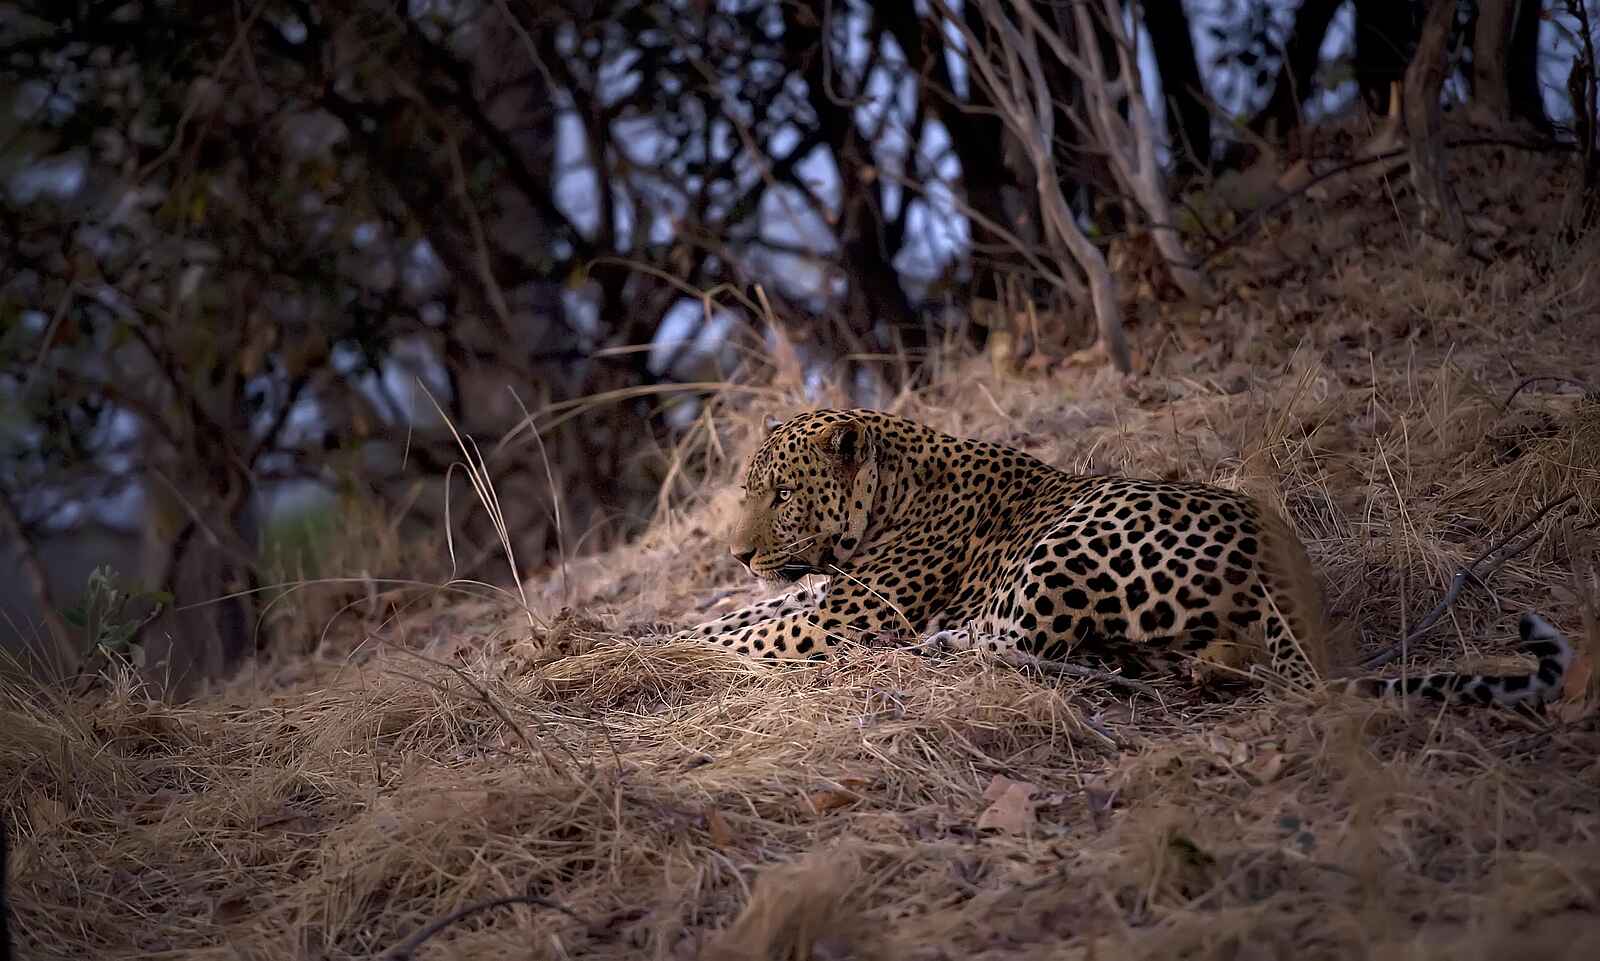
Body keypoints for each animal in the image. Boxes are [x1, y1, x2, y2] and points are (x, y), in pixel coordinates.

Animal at [672, 408, 1573, 707]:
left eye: (781, 494)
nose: (738, 552)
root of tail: (1284, 565)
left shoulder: (848, 613)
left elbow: (734, 632)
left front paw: (651, 653)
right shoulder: (817, 597)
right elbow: (741, 615)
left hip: (1073, 537)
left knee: (1027, 640)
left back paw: (939, 647)